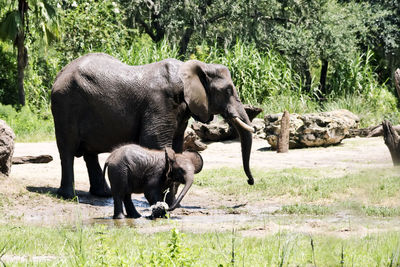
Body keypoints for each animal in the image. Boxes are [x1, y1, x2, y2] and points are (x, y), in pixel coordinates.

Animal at [51, 53, 255, 202]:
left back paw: (104, 194)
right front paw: (161, 201)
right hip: (65, 104)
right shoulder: (160, 103)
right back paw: (69, 196)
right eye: (228, 91)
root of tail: (60, 74)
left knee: (89, 152)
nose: (250, 181)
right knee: (67, 149)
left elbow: (177, 147)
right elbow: (156, 142)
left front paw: (169, 201)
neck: (192, 68)